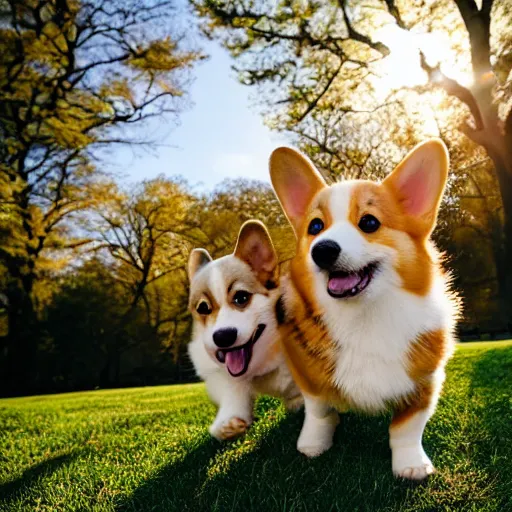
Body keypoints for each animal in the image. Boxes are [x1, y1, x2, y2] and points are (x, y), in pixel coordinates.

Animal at [270, 138, 458, 478]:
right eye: (315, 226)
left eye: (369, 222)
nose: (322, 250)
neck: (363, 317)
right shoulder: (306, 372)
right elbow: (318, 410)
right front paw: (313, 444)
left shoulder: (426, 380)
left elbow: (406, 428)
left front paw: (410, 465)